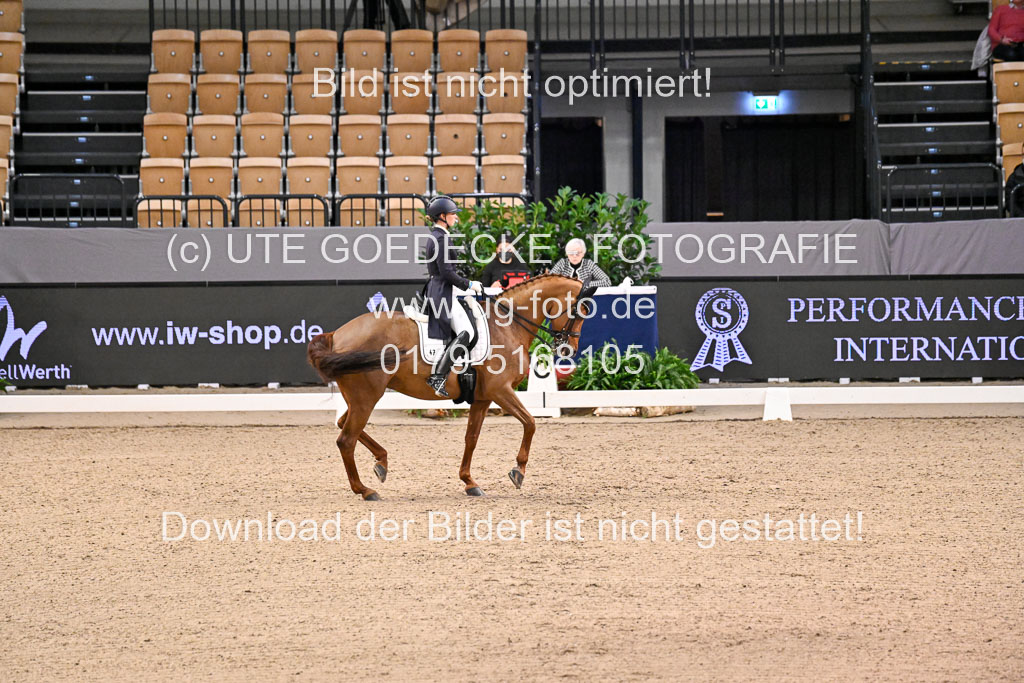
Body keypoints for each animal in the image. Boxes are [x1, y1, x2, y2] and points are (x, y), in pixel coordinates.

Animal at [307, 273, 596, 500]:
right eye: (580, 311)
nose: (568, 349)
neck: (508, 324)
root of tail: (336, 334)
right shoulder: (500, 390)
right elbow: (530, 423)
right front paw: (518, 472)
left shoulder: (482, 397)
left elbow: (472, 438)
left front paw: (470, 482)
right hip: (367, 396)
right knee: (346, 439)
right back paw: (365, 490)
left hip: (359, 397)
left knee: (343, 424)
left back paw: (382, 462)